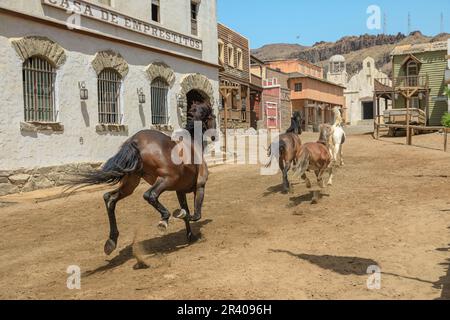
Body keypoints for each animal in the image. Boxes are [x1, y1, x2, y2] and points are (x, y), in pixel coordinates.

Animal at [70, 102, 216, 255]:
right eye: (213, 116)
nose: (214, 137)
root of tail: (135, 140)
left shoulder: (180, 191)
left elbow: (186, 211)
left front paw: (190, 236)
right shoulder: (200, 186)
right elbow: (194, 215)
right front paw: (182, 219)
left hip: (131, 184)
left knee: (109, 198)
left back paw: (111, 242)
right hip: (166, 179)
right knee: (150, 195)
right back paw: (164, 219)